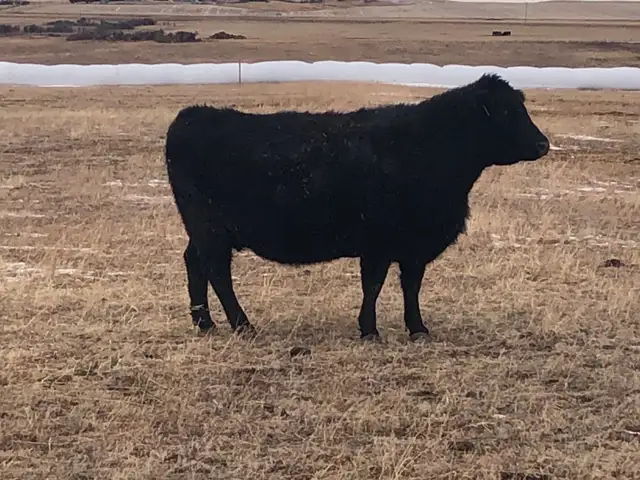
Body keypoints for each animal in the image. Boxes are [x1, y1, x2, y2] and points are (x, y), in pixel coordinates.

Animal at [164, 73, 550, 342]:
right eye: (505, 113)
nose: (543, 144)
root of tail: (192, 116)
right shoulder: (378, 243)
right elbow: (374, 286)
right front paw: (370, 331)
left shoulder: (413, 247)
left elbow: (411, 286)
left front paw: (417, 329)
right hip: (212, 230)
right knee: (217, 272)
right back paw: (242, 325)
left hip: (202, 232)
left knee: (194, 263)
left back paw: (204, 322)